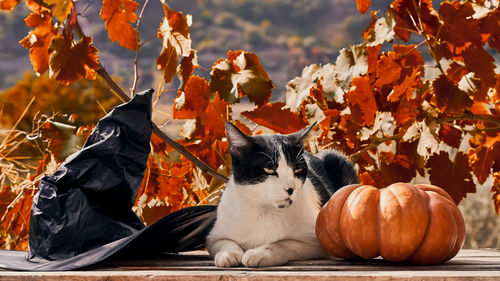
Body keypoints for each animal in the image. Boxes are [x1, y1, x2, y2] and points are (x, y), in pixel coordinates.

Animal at [207, 121, 360, 266]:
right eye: (269, 170)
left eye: (297, 170)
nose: (291, 188)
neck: (264, 211)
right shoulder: (214, 236)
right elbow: (224, 242)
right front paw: (228, 254)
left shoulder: (319, 240)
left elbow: (283, 244)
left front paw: (258, 253)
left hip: (334, 156)